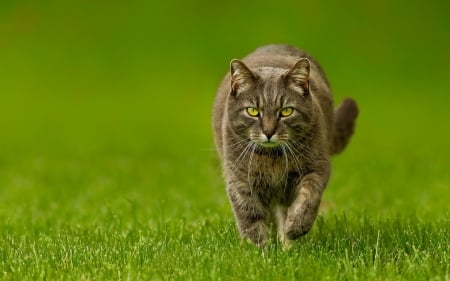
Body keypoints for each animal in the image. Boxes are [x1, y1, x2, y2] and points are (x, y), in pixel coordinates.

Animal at [213, 43, 356, 245]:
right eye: (253, 111)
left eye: (286, 111)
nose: (268, 132)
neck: (273, 158)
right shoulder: (239, 178)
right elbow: (249, 216)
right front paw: (257, 248)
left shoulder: (317, 168)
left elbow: (308, 197)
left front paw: (296, 227)